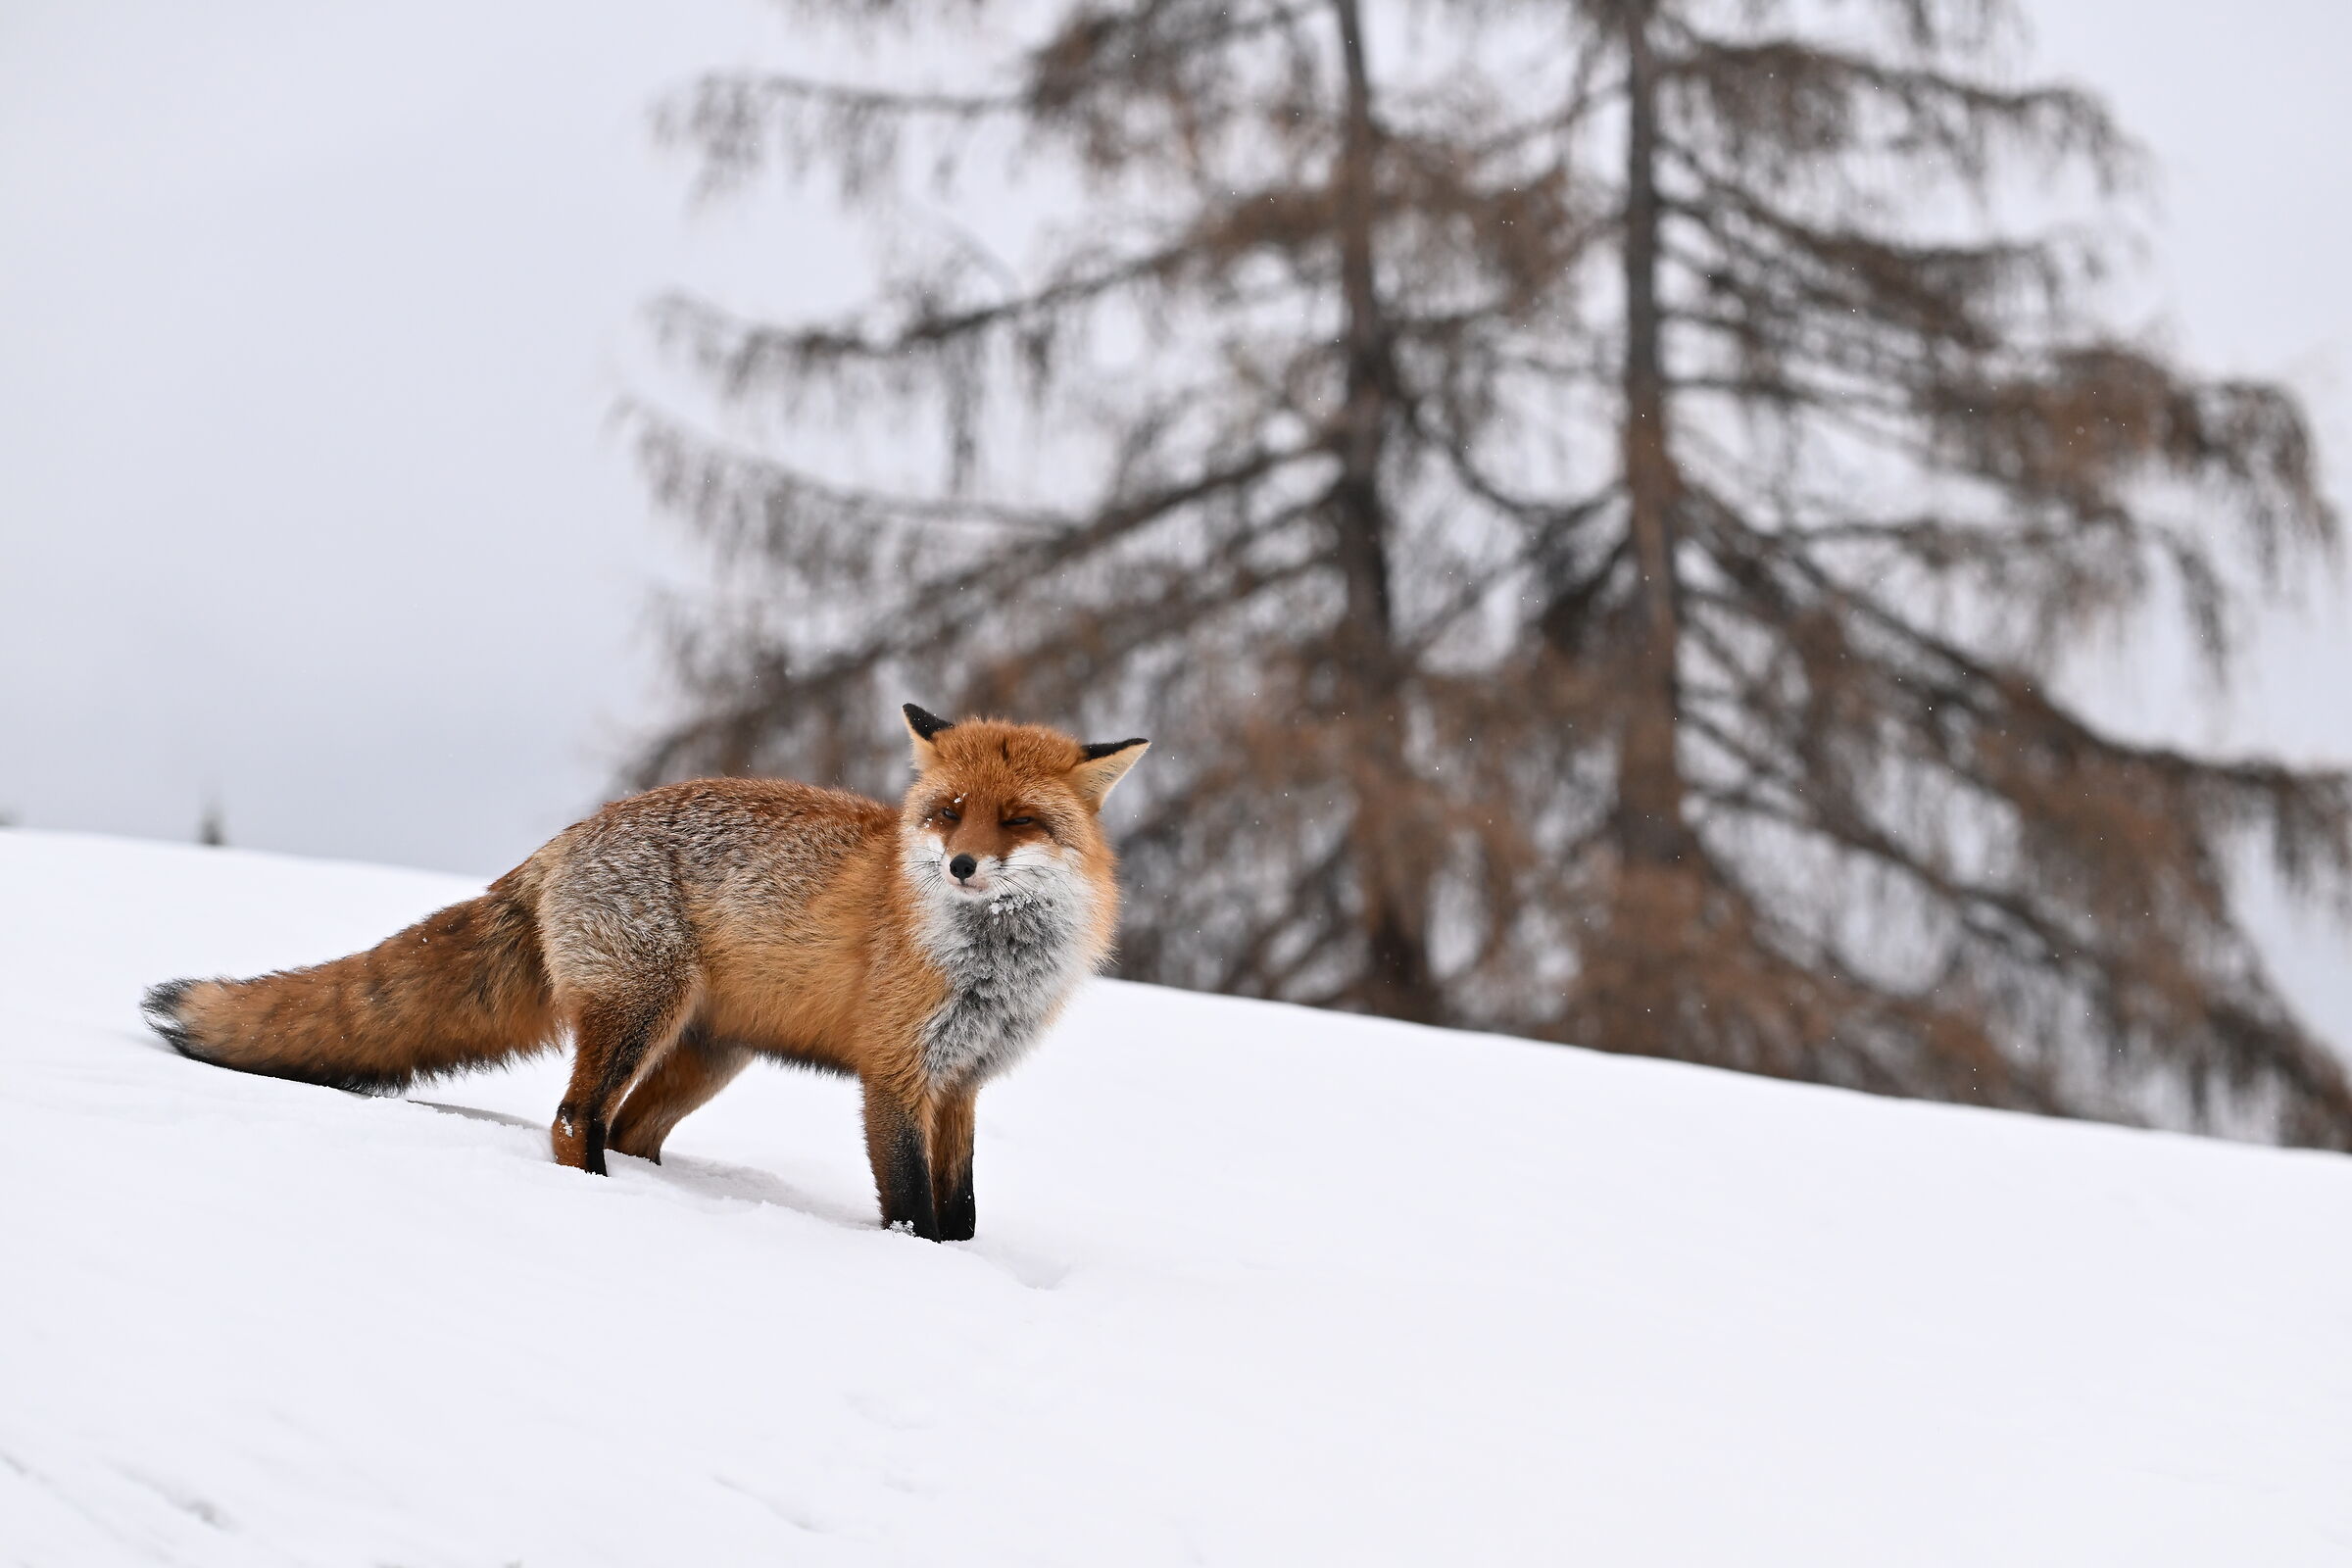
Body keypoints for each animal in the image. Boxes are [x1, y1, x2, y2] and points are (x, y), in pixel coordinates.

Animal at [141, 705, 1147, 1241]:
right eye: (948, 811)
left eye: (1016, 820)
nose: (961, 867)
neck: (991, 966)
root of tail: (566, 838)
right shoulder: (896, 1073)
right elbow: (912, 1207)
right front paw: (919, 1267)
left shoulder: (964, 1080)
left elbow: (963, 1209)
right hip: (639, 1012)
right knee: (571, 1118)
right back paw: (601, 1203)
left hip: (705, 1057)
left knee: (626, 1131)